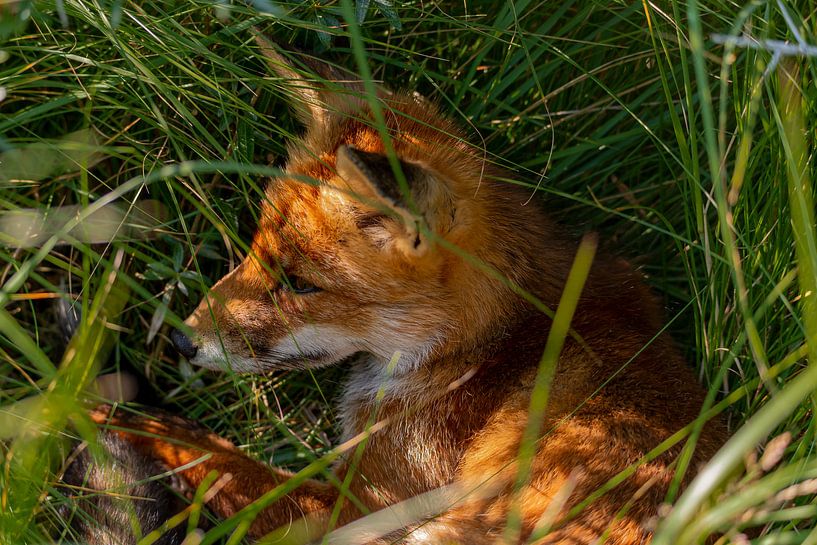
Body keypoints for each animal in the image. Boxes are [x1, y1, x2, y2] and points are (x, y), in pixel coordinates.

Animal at [88, 34, 728, 544]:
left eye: (299, 283)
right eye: (254, 247)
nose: (181, 342)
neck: (483, 346)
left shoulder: (362, 507)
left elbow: (211, 454)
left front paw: (106, 410)